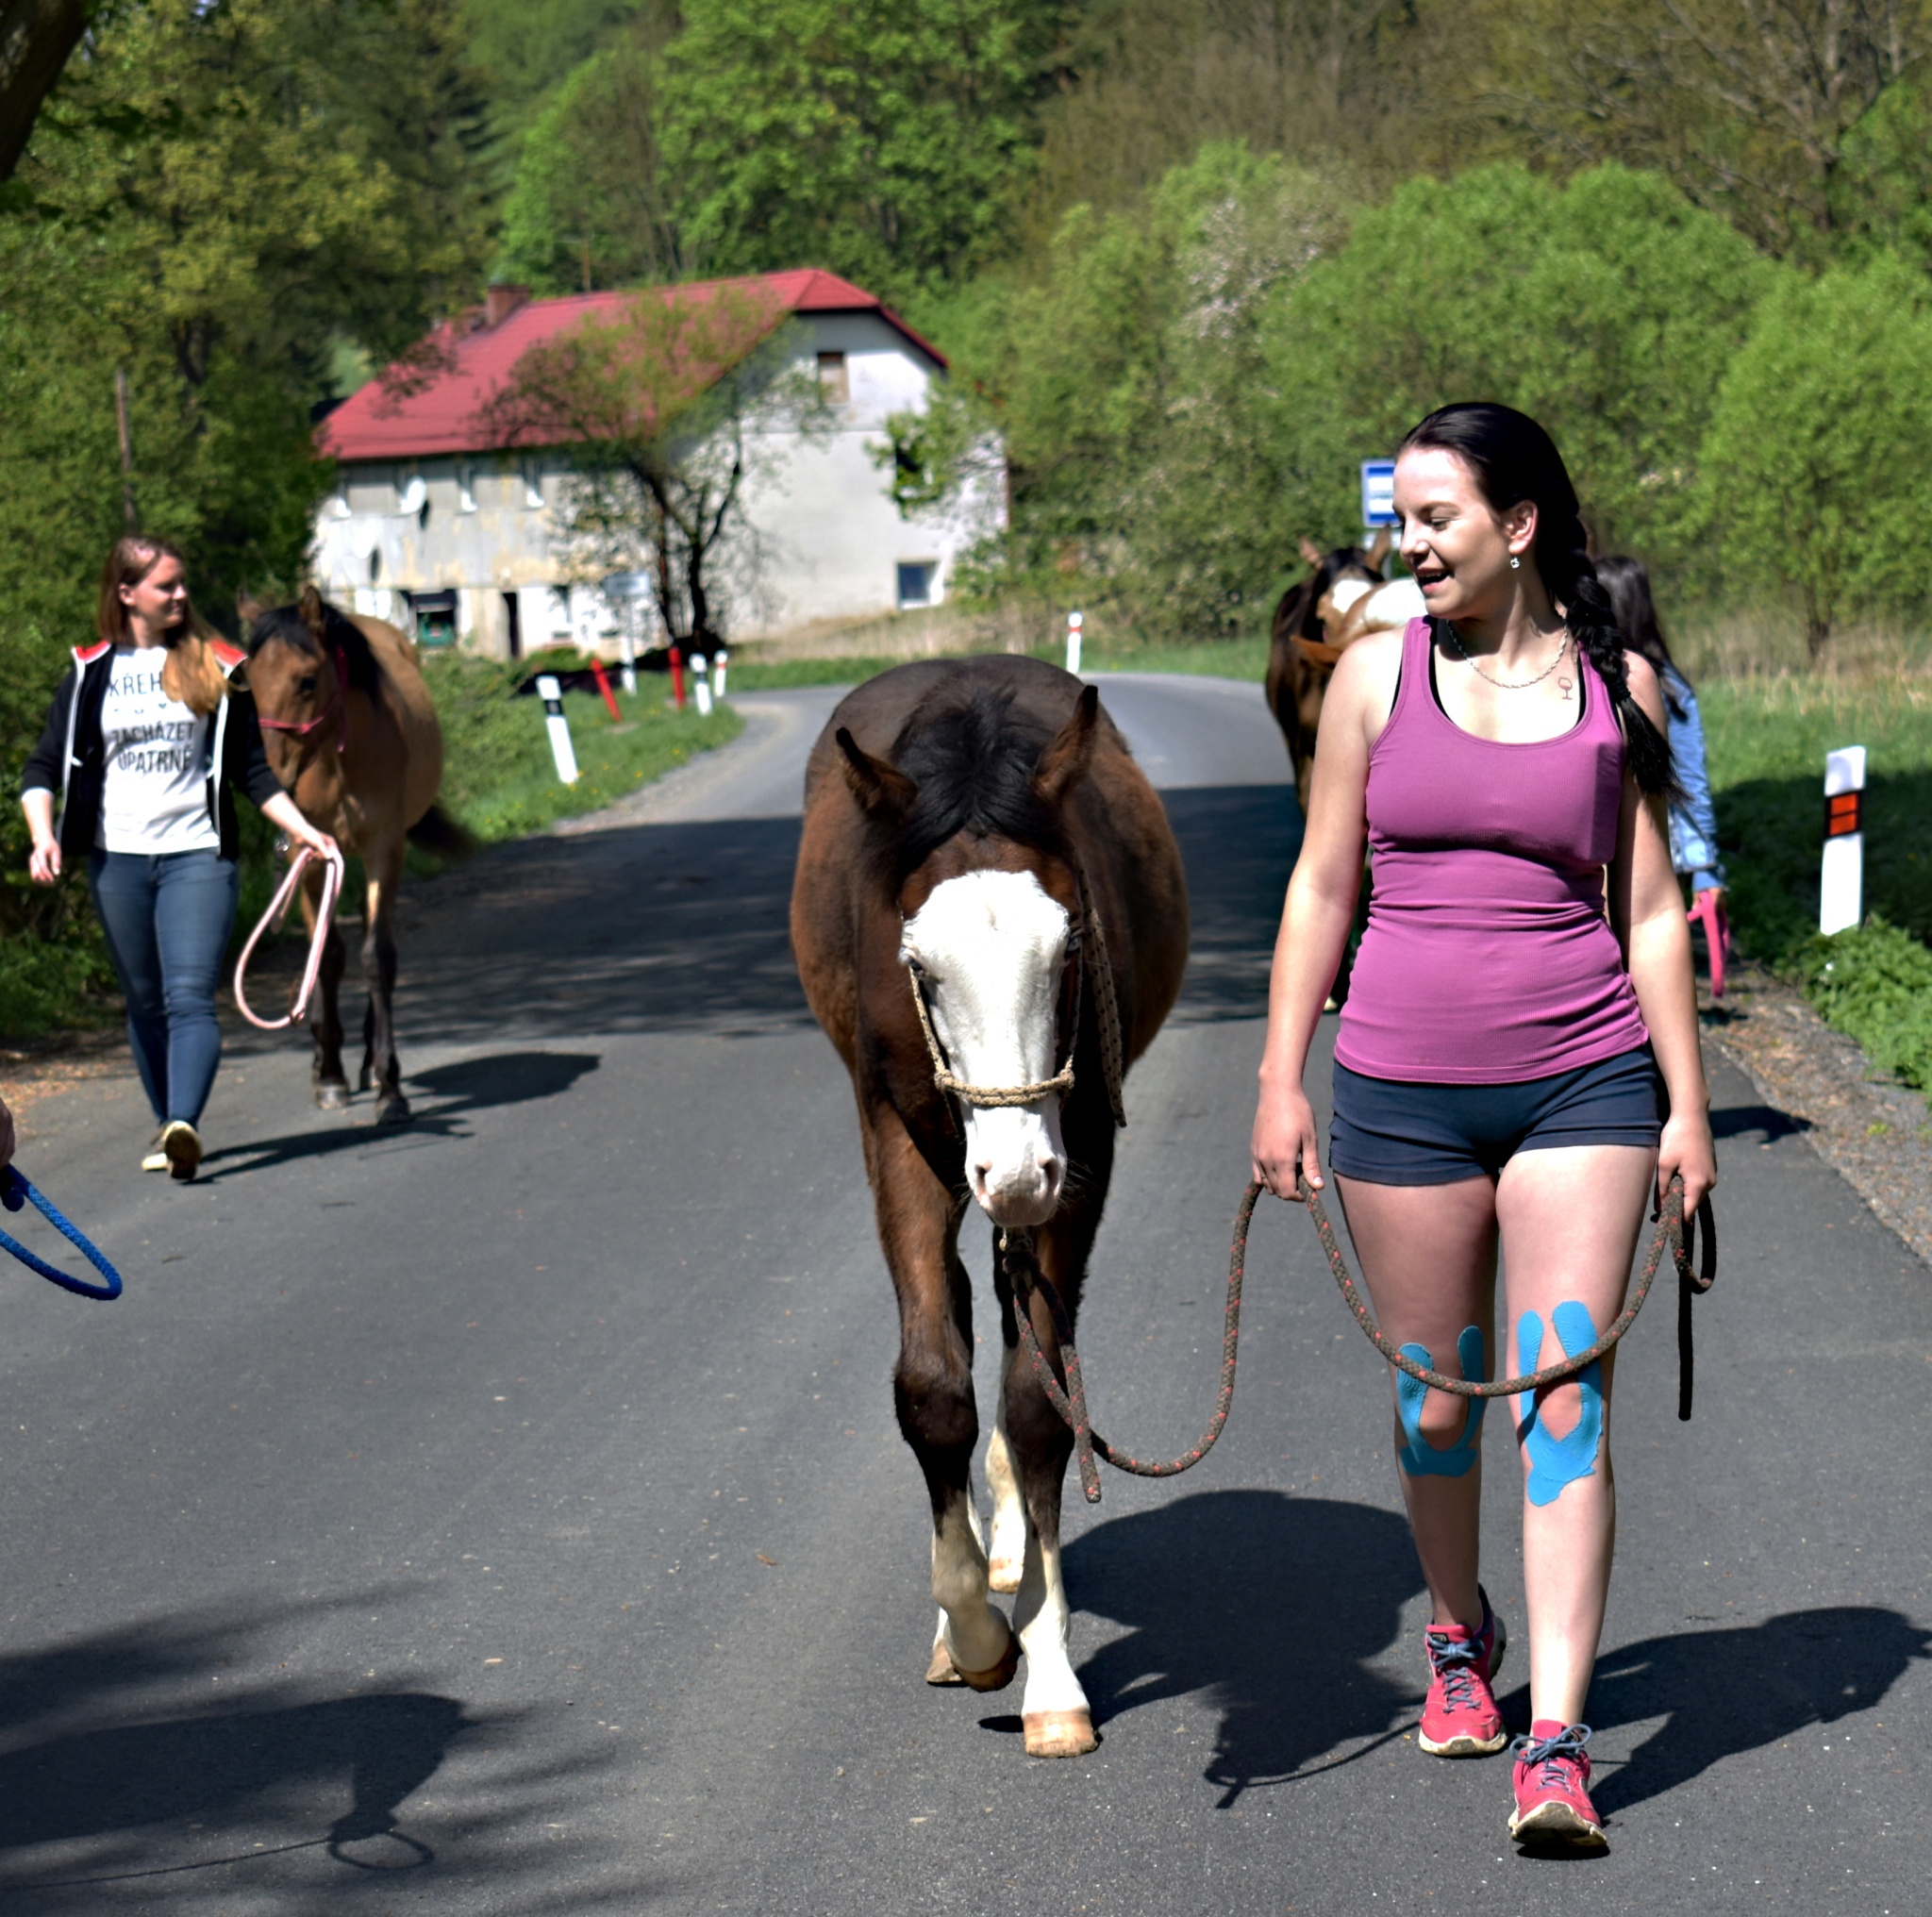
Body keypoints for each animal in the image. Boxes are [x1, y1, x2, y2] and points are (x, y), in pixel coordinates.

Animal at [243, 583, 461, 1121]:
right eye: (247, 681)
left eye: (306, 680)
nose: (270, 778)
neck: (339, 761)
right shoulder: (310, 854)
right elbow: (326, 959)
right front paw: (329, 1075)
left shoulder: (385, 847)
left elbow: (376, 957)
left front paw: (390, 1084)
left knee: (370, 934)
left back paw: (368, 1062)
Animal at [788, 653, 1182, 1762]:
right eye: (918, 966)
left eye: (1070, 949)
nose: (1010, 1170)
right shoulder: (898, 1132)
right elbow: (932, 1386)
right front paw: (968, 1631)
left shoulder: (1078, 1148)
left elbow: (1037, 1404)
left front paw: (1045, 1668)